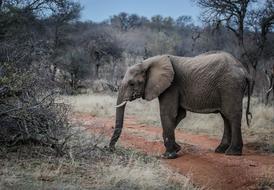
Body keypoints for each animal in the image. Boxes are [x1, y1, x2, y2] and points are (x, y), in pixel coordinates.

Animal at [108, 50, 252, 159]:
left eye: (132, 83)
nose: (111, 149)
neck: (147, 63)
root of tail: (245, 71)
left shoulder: (171, 86)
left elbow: (168, 113)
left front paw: (168, 156)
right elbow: (180, 115)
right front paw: (177, 149)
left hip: (230, 86)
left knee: (232, 114)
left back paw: (232, 153)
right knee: (225, 116)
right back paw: (220, 150)